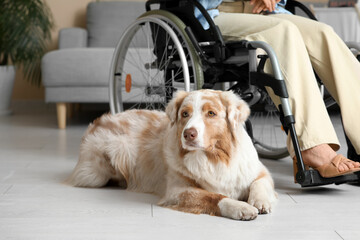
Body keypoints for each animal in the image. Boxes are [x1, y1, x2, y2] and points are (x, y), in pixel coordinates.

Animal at [66, 89, 278, 219]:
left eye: (211, 113)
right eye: (185, 114)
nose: (189, 133)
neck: (213, 157)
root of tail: (97, 121)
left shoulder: (259, 170)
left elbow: (259, 183)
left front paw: (260, 201)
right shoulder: (178, 191)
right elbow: (213, 196)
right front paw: (240, 207)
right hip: (101, 169)